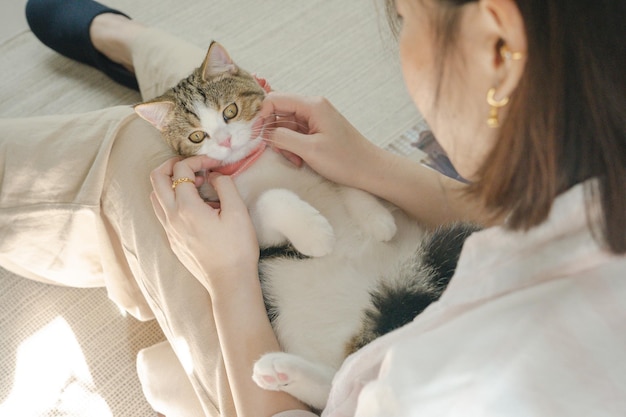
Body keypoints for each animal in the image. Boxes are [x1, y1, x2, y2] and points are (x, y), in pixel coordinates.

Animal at [134, 42, 476, 410]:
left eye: (230, 111)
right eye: (197, 136)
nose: (225, 141)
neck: (255, 161)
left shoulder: (313, 147)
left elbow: (343, 170)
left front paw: (377, 219)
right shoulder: (246, 223)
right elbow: (270, 200)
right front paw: (317, 235)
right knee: (344, 387)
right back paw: (280, 371)